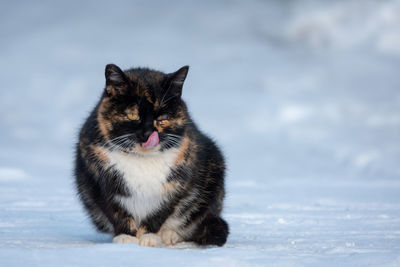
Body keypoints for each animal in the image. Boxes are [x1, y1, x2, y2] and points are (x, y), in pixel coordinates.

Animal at [72, 62, 228, 247]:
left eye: (162, 117)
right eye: (133, 115)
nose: (148, 133)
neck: (142, 159)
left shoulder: (176, 186)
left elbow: (160, 213)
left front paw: (149, 238)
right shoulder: (98, 182)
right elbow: (116, 211)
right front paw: (126, 237)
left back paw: (169, 235)